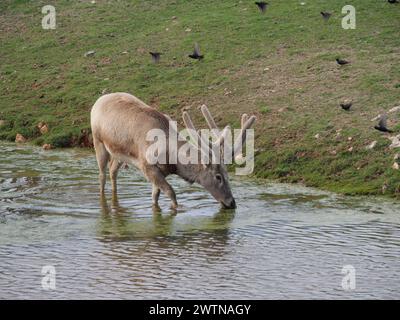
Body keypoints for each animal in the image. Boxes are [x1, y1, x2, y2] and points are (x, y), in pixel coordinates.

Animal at [90, 92, 256, 210]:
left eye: (228, 175)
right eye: (218, 177)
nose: (232, 203)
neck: (170, 159)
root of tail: (98, 100)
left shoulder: (161, 172)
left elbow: (155, 196)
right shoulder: (146, 166)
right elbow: (171, 192)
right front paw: (177, 209)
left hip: (119, 153)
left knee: (113, 171)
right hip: (97, 140)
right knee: (102, 174)